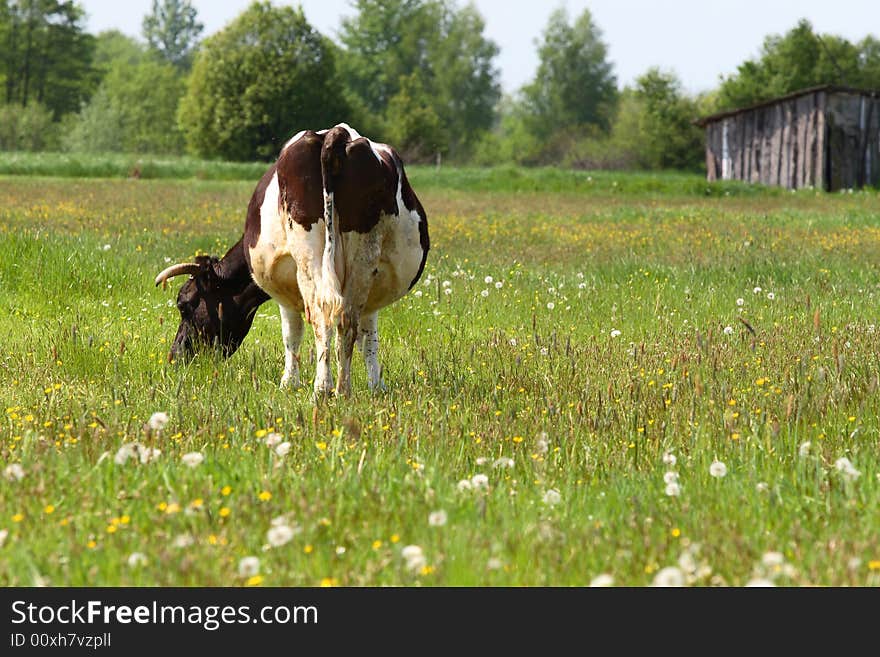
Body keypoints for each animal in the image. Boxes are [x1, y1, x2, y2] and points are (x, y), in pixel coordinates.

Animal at [154, 125, 430, 398]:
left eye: (184, 305)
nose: (175, 357)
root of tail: (337, 133)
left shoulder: (284, 286)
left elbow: (292, 333)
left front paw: (289, 382)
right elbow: (368, 338)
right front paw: (376, 385)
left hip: (308, 257)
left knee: (321, 314)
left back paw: (322, 388)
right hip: (363, 257)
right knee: (346, 318)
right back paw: (342, 389)